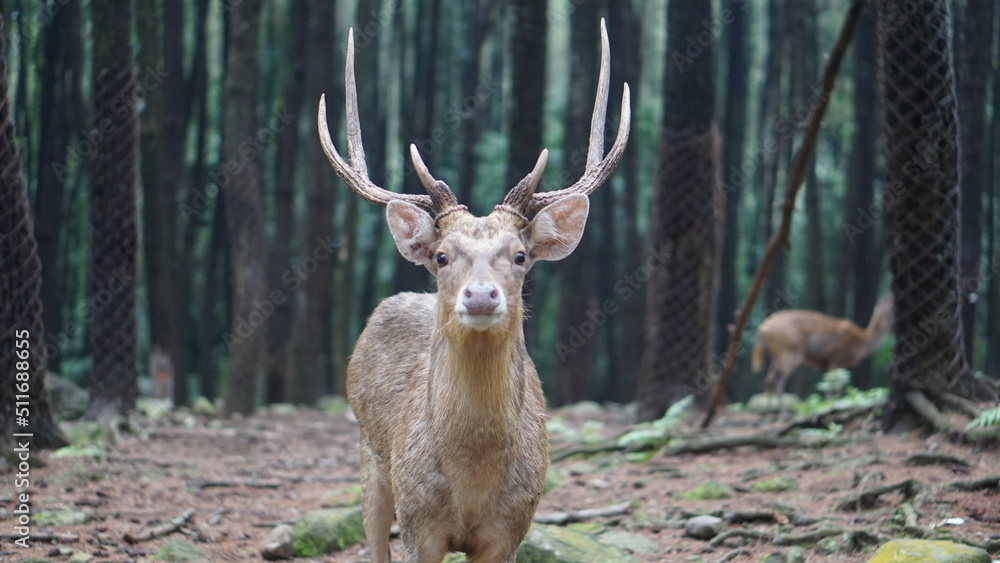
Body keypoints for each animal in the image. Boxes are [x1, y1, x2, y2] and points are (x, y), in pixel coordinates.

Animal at [317, 21, 629, 563]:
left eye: (520, 256)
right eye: (442, 256)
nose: (481, 296)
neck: (472, 484)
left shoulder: (513, 526)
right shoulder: (418, 522)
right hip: (369, 455)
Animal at [752, 295, 894, 411]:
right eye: (891, 311)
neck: (859, 345)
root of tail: (762, 329)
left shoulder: (836, 364)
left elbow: (837, 386)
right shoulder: (836, 359)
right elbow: (832, 386)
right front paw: (829, 405)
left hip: (776, 355)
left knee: (769, 379)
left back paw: (768, 412)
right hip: (789, 352)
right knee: (777, 379)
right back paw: (782, 413)